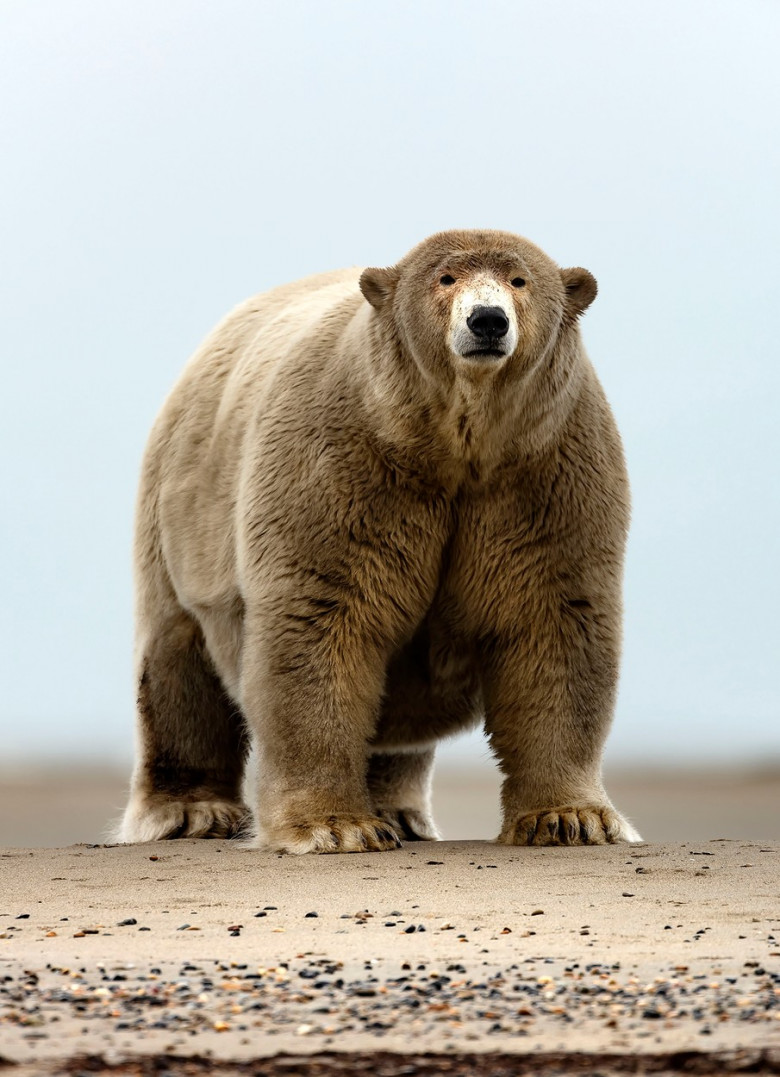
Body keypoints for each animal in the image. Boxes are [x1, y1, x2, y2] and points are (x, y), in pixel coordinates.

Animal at [117, 231, 637, 852]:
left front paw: (571, 818)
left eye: (519, 280)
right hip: (181, 508)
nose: (487, 320)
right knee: (177, 659)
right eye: (445, 278)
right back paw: (193, 812)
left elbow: (553, 623)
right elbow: (322, 619)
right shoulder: (344, 461)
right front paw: (333, 826)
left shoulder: (543, 471)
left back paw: (401, 811)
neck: (455, 443)